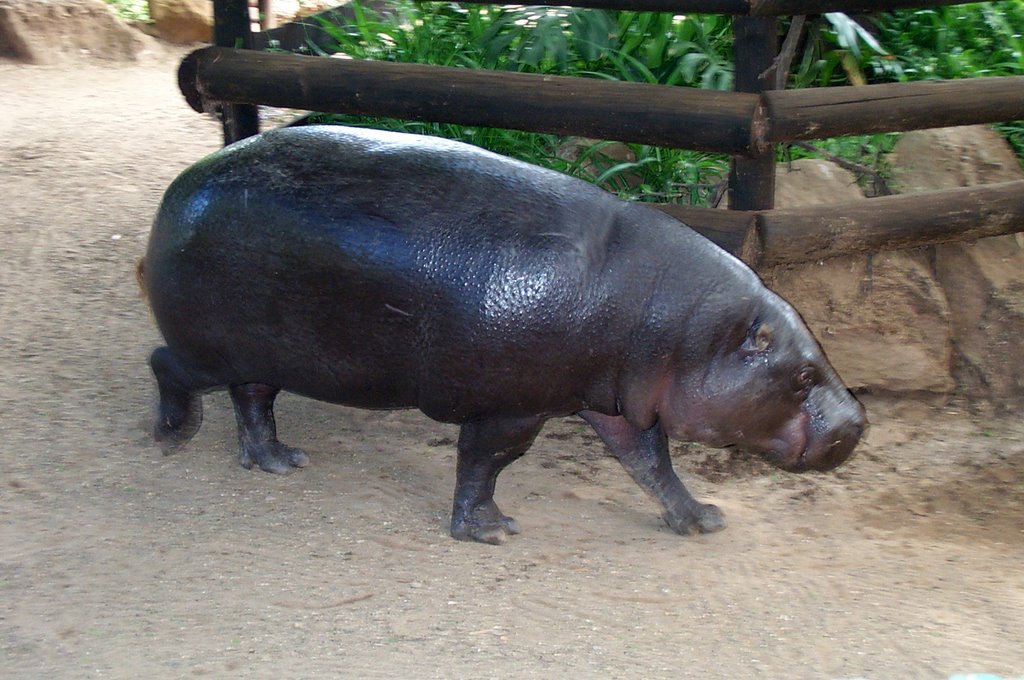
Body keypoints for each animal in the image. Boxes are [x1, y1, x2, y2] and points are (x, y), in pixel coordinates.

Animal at [140, 124, 864, 544]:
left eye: (820, 353)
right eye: (803, 374)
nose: (858, 421)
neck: (684, 327)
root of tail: (180, 185)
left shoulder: (615, 402)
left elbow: (651, 464)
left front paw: (703, 519)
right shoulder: (513, 405)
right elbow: (487, 461)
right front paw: (489, 531)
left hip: (263, 351)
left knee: (253, 399)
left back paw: (278, 461)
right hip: (210, 346)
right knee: (168, 365)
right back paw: (171, 438)